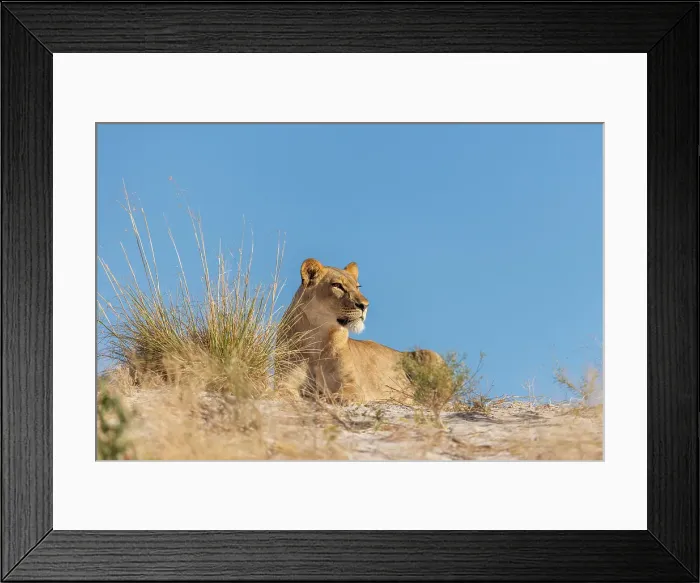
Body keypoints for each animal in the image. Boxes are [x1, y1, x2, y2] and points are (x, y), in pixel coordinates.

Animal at [275, 258, 443, 404]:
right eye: (337, 285)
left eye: (357, 287)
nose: (365, 305)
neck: (316, 336)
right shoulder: (285, 381)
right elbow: (282, 393)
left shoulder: (352, 386)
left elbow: (337, 396)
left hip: (430, 355)